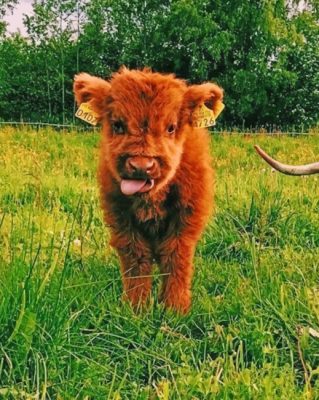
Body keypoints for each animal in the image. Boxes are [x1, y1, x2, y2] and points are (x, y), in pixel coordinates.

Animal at [74, 67, 224, 314]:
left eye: (171, 127)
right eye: (118, 125)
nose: (141, 166)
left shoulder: (186, 218)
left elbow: (175, 257)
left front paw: (175, 308)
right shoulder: (121, 219)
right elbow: (136, 258)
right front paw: (136, 308)